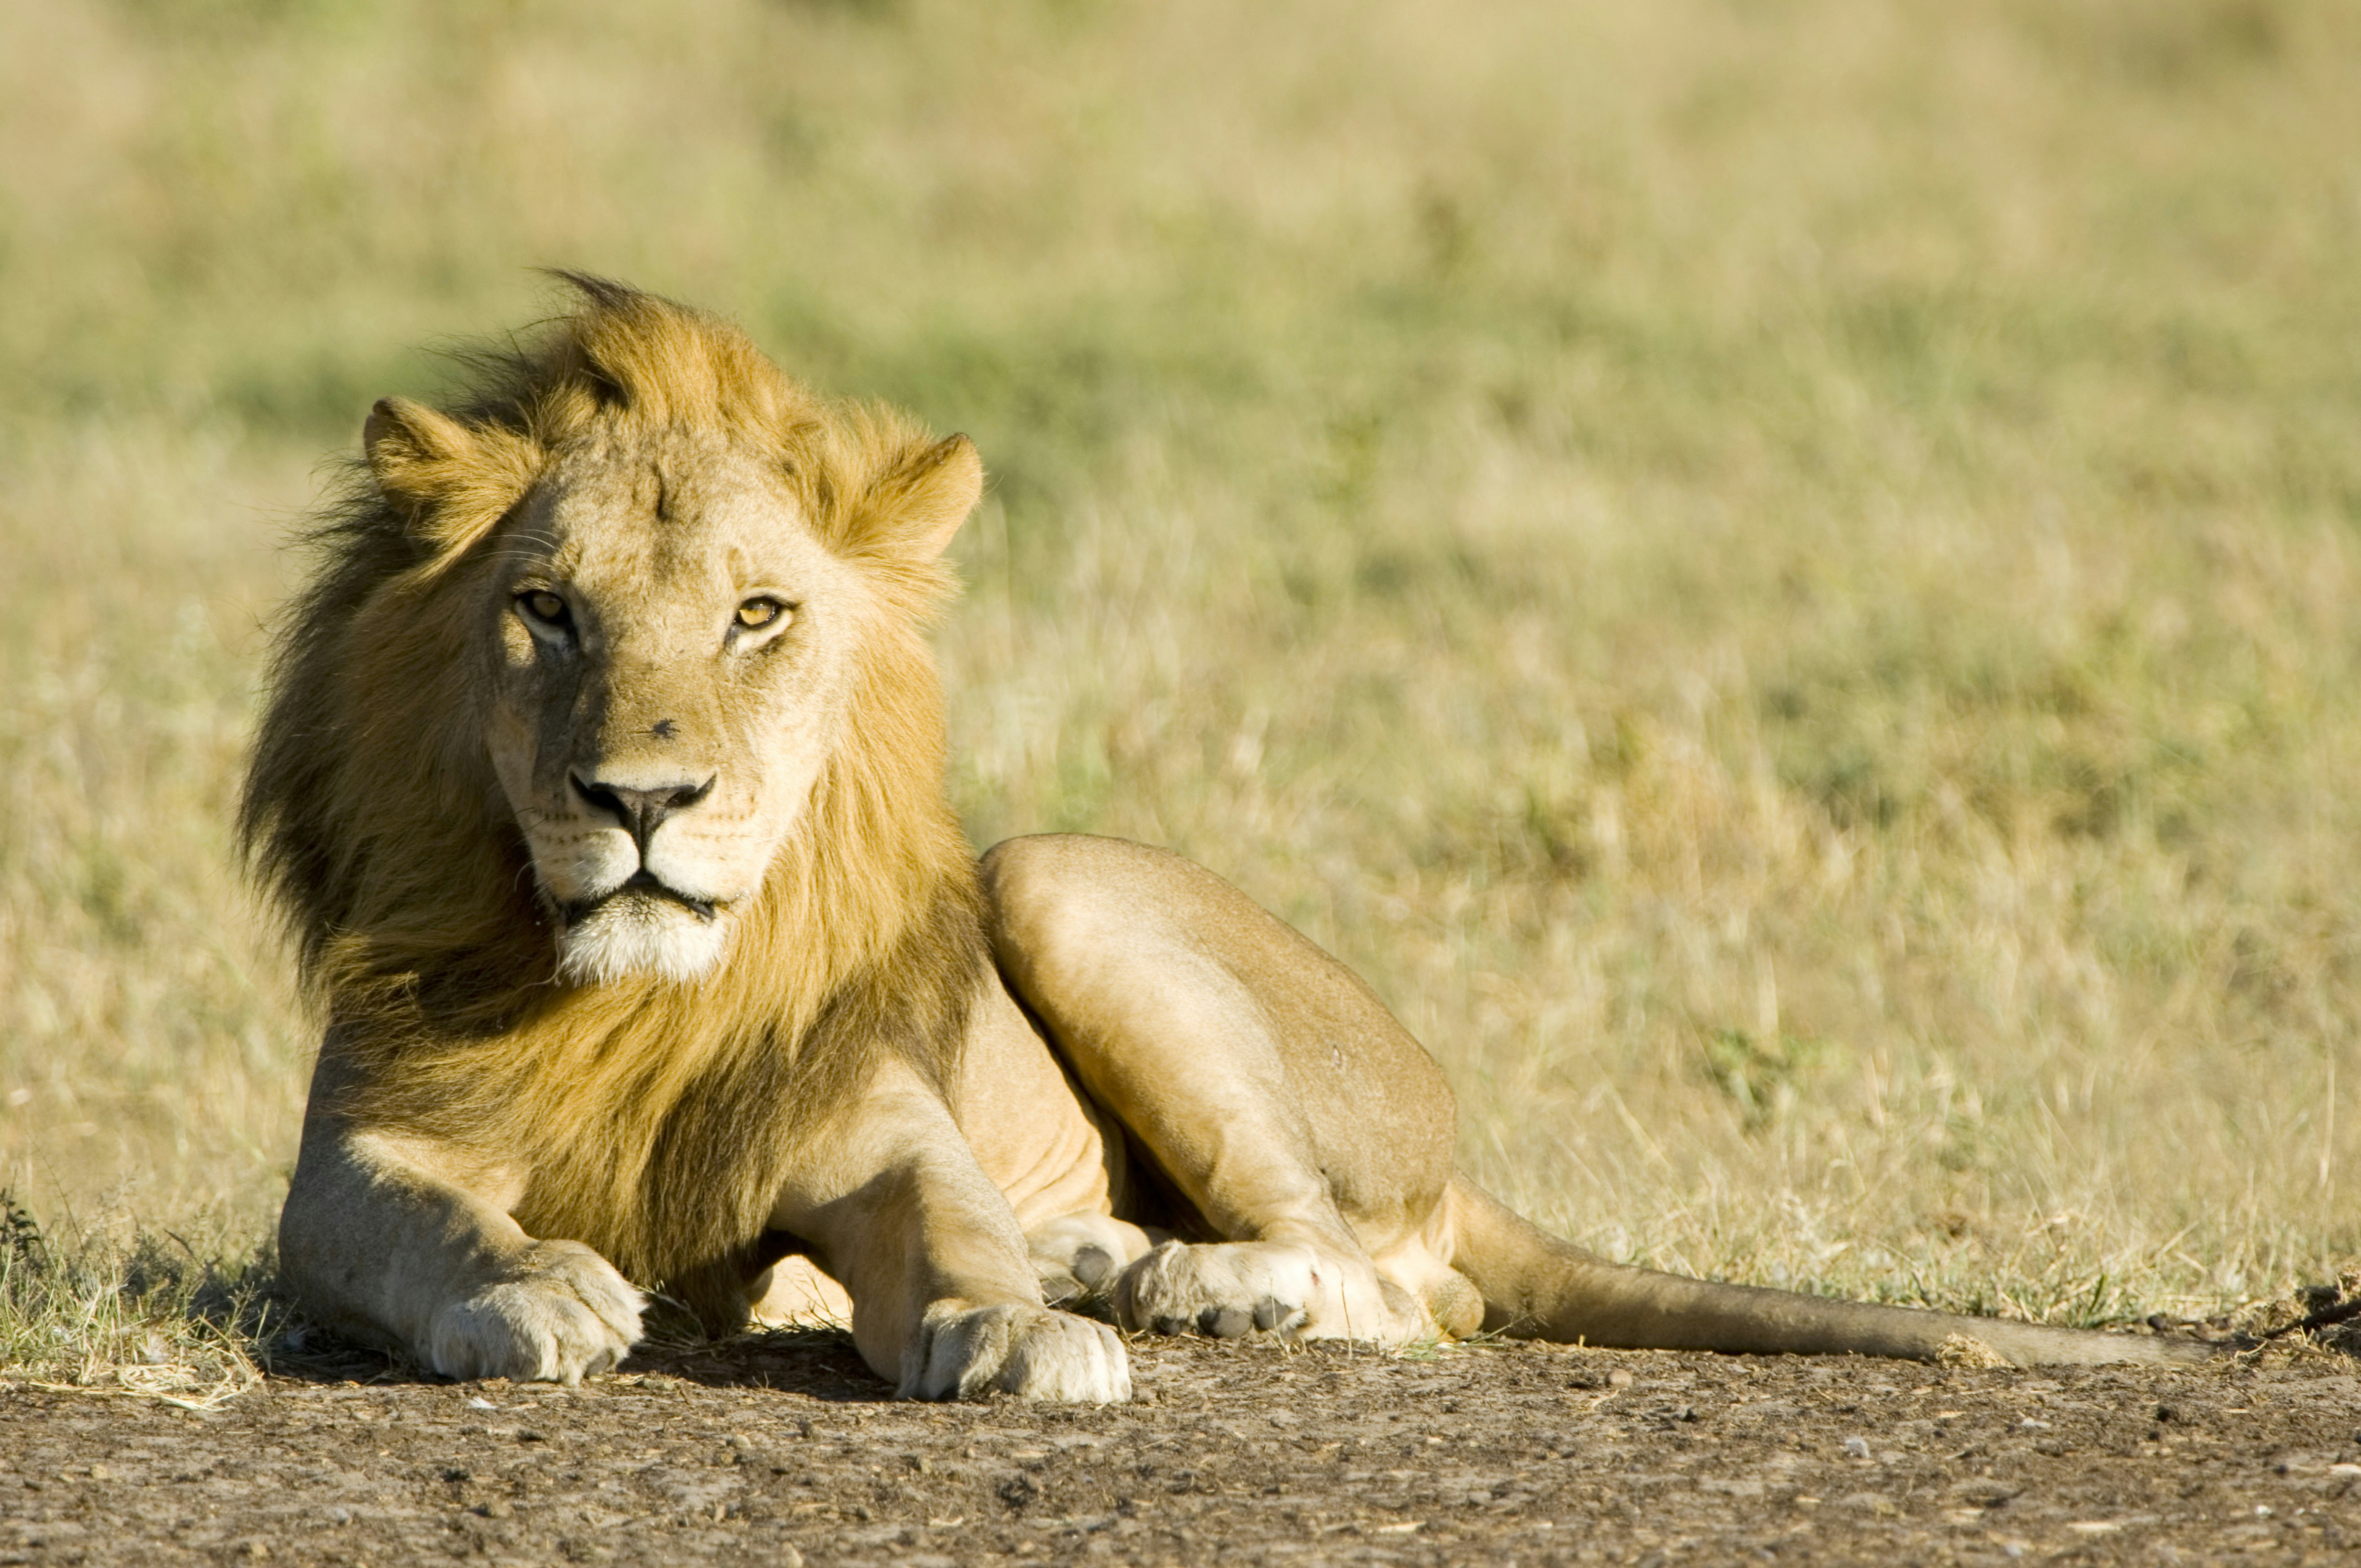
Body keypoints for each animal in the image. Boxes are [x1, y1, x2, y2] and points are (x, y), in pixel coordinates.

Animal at [244, 278, 2210, 1398]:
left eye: (755, 617)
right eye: (549, 613)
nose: (642, 804)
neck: (646, 993)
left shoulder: (885, 1125)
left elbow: (948, 1233)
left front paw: (1016, 1329)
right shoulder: (350, 1162)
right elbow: (422, 1234)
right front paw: (534, 1296)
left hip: (1059, 879)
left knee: (1383, 1284)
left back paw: (1179, 1289)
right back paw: (1116, 1263)